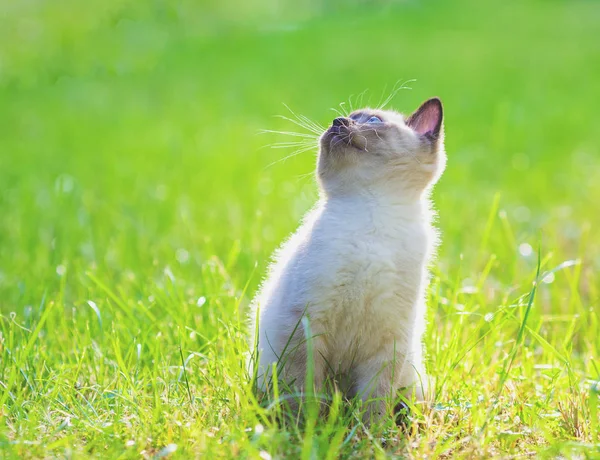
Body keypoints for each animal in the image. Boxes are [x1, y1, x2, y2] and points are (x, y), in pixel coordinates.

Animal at [250, 97, 446, 424]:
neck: (370, 213)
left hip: (414, 382)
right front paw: (306, 429)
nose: (337, 122)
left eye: (374, 121)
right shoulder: (306, 323)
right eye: (348, 118)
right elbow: (305, 392)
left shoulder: (389, 342)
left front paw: (370, 434)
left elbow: (373, 405)